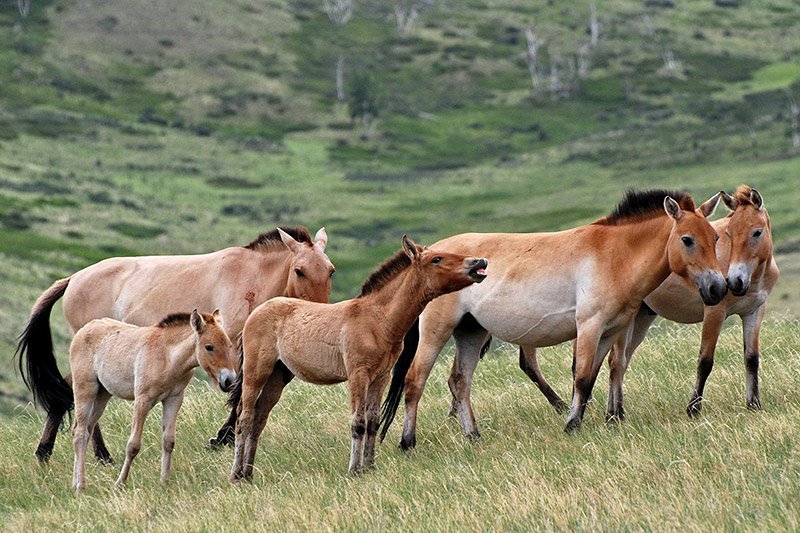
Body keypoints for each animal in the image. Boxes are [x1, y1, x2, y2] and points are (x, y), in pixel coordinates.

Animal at [16, 226, 333, 464]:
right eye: (300, 270)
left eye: (330, 270)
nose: (319, 313)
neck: (251, 278)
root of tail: (73, 279)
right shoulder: (232, 350)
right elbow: (240, 393)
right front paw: (221, 439)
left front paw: (224, 438)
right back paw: (81, 454)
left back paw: (58, 453)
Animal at [70, 310, 237, 493]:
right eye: (209, 347)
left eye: (229, 345)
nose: (229, 380)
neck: (167, 357)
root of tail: (84, 330)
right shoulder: (143, 400)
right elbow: (133, 445)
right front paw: (119, 483)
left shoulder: (174, 399)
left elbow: (168, 441)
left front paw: (164, 482)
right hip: (85, 390)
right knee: (80, 433)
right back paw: (80, 487)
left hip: (102, 395)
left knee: (84, 431)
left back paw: (75, 483)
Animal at [230, 236, 488, 480]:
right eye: (437, 259)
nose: (479, 262)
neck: (377, 320)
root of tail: (255, 314)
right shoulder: (358, 374)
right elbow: (358, 422)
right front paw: (354, 469)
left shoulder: (381, 377)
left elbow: (373, 421)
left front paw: (369, 467)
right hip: (256, 372)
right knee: (245, 418)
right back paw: (236, 475)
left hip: (278, 375)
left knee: (259, 419)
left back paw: (248, 472)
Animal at [389, 189, 727, 450]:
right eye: (687, 240)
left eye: (714, 237)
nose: (718, 288)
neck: (615, 255)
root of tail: (426, 254)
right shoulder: (590, 326)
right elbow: (582, 377)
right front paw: (572, 425)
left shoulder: (609, 332)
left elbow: (593, 377)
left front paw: (592, 419)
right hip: (438, 331)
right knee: (415, 380)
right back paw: (408, 442)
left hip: (470, 332)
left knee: (459, 381)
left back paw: (473, 436)